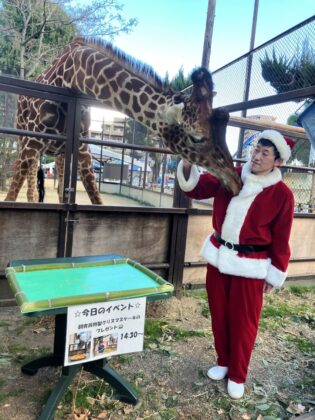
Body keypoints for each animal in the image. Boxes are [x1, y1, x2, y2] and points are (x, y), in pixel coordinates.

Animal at [4, 36, 241, 203]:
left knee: (60, 184)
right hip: (26, 142)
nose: (235, 182)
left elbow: (96, 198)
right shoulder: (32, 141)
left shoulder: (81, 145)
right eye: (197, 137)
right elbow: (10, 197)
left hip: (59, 151)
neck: (72, 76)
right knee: (31, 186)